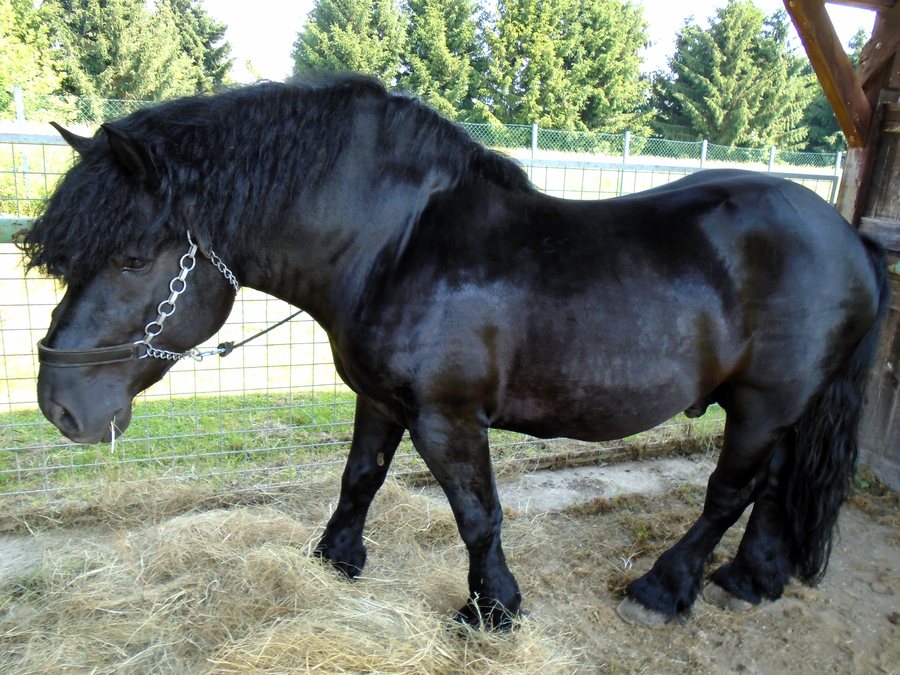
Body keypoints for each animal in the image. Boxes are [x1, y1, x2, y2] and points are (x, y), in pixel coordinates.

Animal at [21, 75, 888, 630]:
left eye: (135, 258)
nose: (59, 406)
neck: (395, 244)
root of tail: (850, 238)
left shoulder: (447, 417)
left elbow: (478, 513)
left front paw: (490, 607)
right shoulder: (378, 399)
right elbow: (361, 479)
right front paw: (335, 558)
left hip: (765, 404)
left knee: (727, 493)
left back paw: (667, 588)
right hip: (785, 407)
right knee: (775, 485)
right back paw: (752, 576)